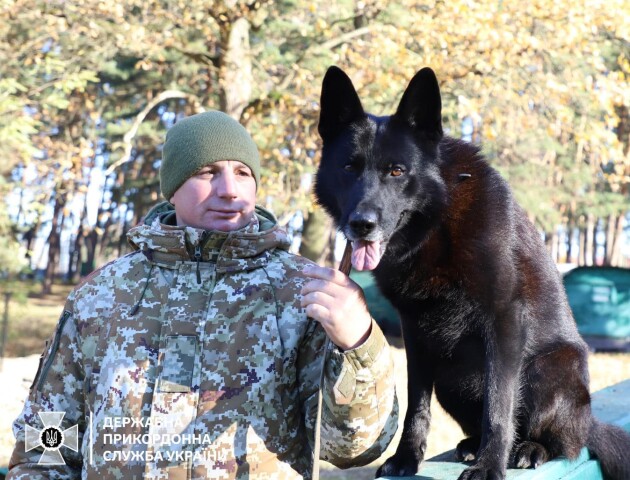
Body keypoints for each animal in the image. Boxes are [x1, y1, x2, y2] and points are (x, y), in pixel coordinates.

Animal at [316, 66, 630, 480]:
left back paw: (528, 449)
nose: (361, 224)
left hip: (549, 370)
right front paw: (406, 458)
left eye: (396, 171)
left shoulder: (505, 321)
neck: (435, 224)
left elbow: (499, 406)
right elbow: (417, 405)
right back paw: (469, 446)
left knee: (566, 443)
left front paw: (490, 464)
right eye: (348, 168)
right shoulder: (415, 333)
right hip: (452, 379)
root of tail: (588, 419)